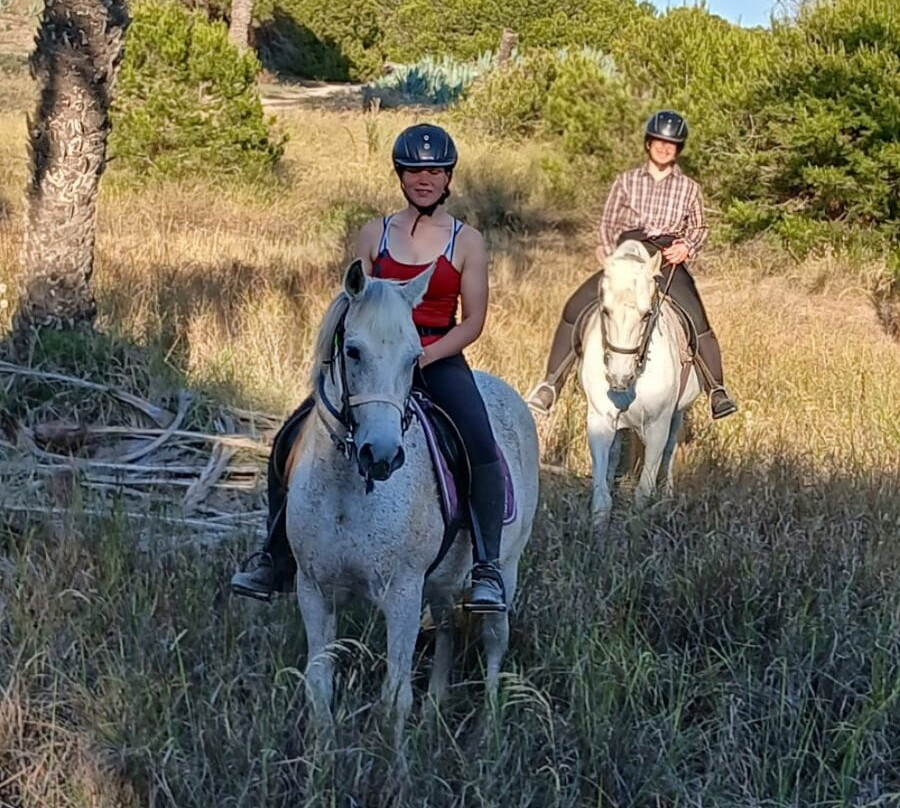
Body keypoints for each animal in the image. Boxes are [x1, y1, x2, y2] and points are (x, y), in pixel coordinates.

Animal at [285, 259, 539, 743]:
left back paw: (487, 729)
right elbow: (318, 685)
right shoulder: (313, 590)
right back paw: (436, 705)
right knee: (446, 630)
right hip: (440, 581)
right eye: (353, 352)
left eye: (413, 358)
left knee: (494, 640)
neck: (348, 491)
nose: (381, 455)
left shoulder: (402, 594)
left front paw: (396, 763)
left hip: (507, 569)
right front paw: (320, 757)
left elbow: (394, 698)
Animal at [579, 239, 701, 532]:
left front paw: (637, 529)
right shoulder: (600, 420)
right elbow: (601, 490)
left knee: (669, 451)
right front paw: (598, 531)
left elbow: (644, 490)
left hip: (677, 415)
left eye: (647, 314)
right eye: (605, 310)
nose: (618, 377)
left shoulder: (658, 426)